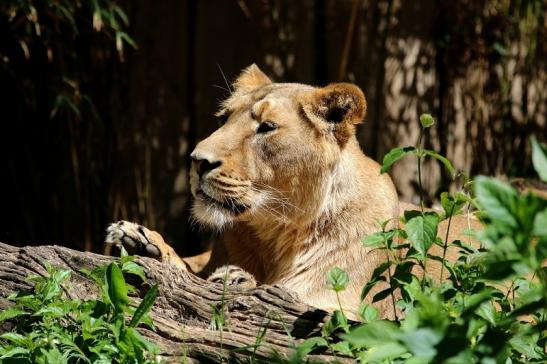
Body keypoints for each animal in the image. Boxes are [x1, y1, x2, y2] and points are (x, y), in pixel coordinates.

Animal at [105, 64, 482, 318]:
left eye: (267, 127)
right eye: (224, 119)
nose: (197, 161)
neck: (273, 236)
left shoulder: (340, 306)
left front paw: (237, 279)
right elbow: (188, 268)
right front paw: (141, 241)